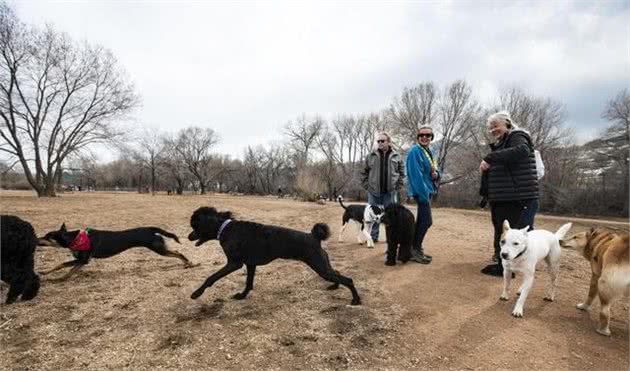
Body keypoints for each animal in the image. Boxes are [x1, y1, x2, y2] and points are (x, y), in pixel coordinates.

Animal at [42, 224, 195, 282]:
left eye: (47, 237)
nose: (37, 239)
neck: (75, 238)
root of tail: (151, 229)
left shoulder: (83, 260)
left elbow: (65, 267)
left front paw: (58, 278)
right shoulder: (81, 261)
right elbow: (64, 267)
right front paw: (45, 273)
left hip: (159, 249)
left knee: (177, 252)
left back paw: (188, 263)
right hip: (160, 248)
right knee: (176, 252)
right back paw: (187, 263)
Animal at [189, 206, 360, 306]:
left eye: (195, 226)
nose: (189, 236)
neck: (224, 228)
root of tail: (314, 237)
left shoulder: (234, 263)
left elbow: (211, 278)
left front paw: (196, 293)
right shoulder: (250, 264)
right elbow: (248, 283)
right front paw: (242, 296)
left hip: (319, 267)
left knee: (348, 279)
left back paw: (356, 300)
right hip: (323, 266)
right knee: (337, 273)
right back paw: (334, 286)